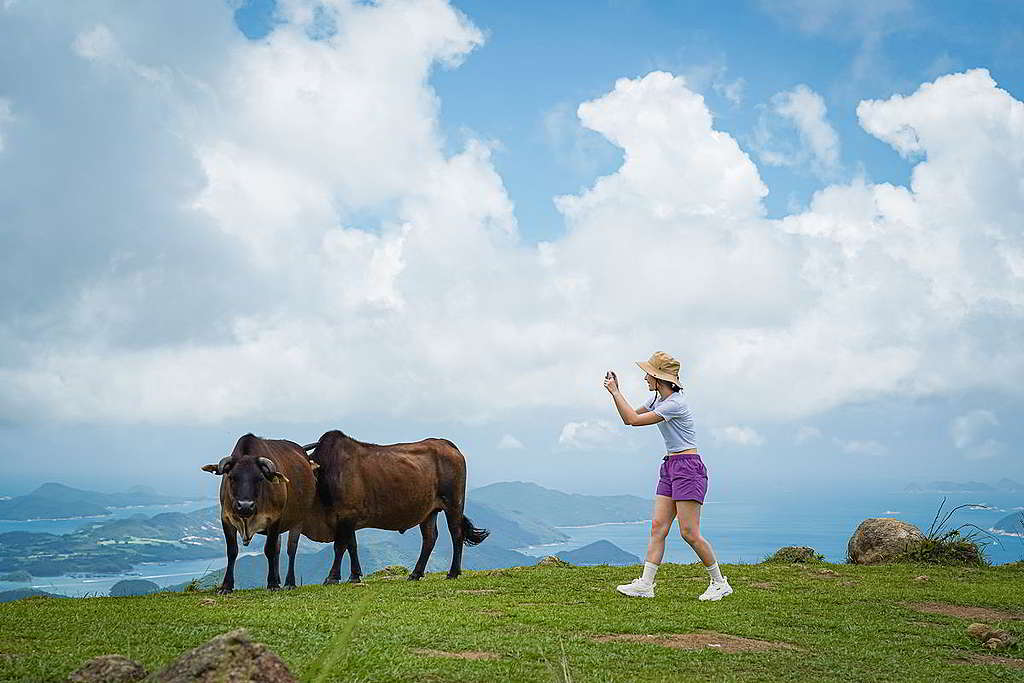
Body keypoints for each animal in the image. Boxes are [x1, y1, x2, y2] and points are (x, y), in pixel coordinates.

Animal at [203, 438, 319, 593]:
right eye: (232, 477)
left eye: (259, 478)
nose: (245, 505)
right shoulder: (226, 518)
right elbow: (232, 551)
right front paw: (226, 586)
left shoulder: (275, 519)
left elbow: (269, 549)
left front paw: (272, 584)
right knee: (278, 548)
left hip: (298, 519)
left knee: (291, 549)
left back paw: (289, 582)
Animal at [303, 432, 487, 581]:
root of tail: (447, 444)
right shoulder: (349, 519)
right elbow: (352, 545)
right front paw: (355, 575)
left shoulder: (346, 515)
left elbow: (340, 546)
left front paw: (332, 577)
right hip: (429, 510)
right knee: (430, 538)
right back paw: (415, 573)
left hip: (454, 503)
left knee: (456, 534)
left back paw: (453, 572)